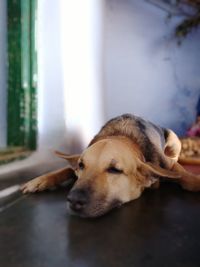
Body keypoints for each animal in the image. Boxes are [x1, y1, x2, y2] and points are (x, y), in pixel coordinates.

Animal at [20, 113, 200, 218]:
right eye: (81, 165)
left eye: (114, 170)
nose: (73, 200)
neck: (122, 136)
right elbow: (65, 169)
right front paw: (41, 180)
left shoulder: (169, 165)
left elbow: (185, 176)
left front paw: (194, 180)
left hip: (174, 141)